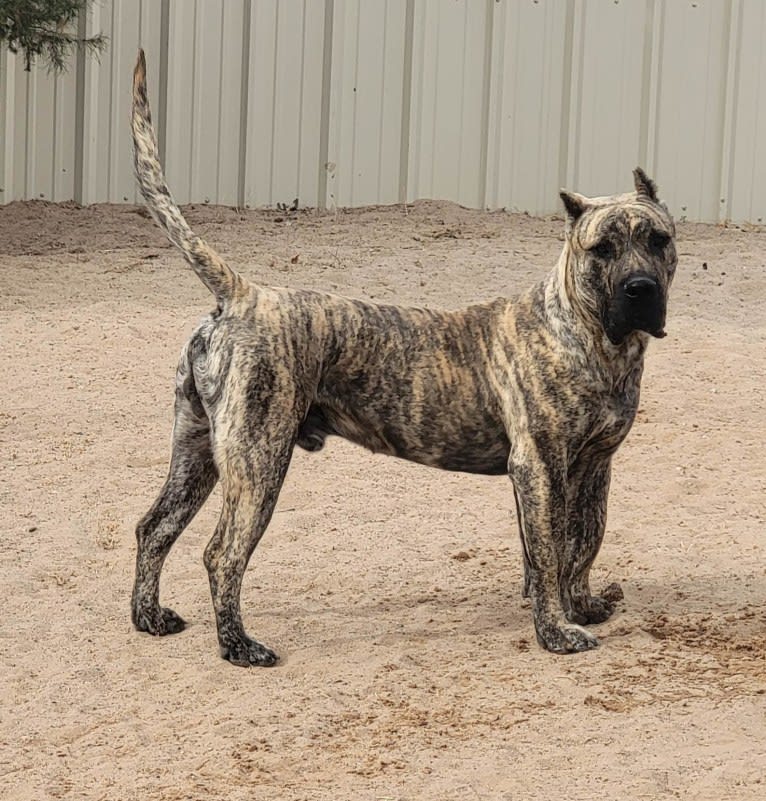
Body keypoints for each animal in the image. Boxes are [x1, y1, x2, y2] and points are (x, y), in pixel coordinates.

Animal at [132, 48, 680, 664]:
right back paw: (238, 645)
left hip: (196, 451)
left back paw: (149, 617)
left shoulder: (594, 466)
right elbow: (549, 555)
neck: (591, 338)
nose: (639, 289)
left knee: (154, 528)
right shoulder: (539, 467)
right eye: (601, 249)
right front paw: (556, 632)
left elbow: (584, 543)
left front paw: (581, 607)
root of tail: (243, 293)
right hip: (258, 460)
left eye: (658, 239)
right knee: (222, 554)